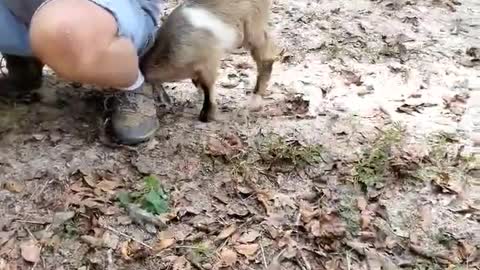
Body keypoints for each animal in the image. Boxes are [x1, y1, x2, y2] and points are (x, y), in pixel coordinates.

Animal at [141, 0, 280, 121]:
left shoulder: (209, 60)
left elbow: (208, 85)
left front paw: (206, 115)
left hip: (252, 25)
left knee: (266, 54)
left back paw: (255, 101)